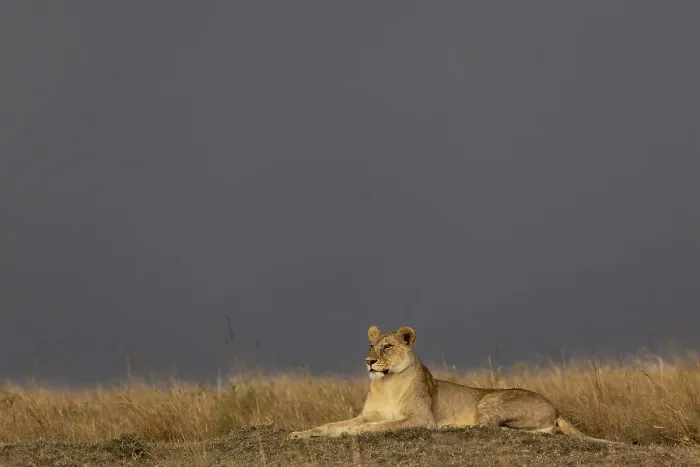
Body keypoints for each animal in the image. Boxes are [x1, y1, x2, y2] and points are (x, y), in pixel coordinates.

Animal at [289, 325, 617, 444]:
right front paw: (301, 433)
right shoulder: (366, 414)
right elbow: (331, 425)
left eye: (387, 347)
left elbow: (380, 426)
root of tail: (556, 408)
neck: (385, 383)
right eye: (371, 346)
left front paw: (352, 433)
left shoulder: (420, 419)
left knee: (490, 427)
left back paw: (451, 426)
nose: (368, 361)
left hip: (490, 400)